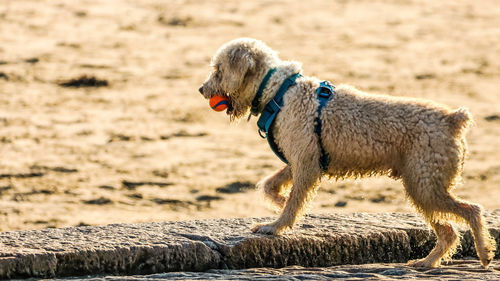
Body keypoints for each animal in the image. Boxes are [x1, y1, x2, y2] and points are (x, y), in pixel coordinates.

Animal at [198, 37, 496, 266]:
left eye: (218, 70)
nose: (202, 89)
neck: (279, 91)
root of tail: (453, 119)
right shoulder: (300, 160)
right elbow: (271, 187)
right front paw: (281, 204)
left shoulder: (306, 164)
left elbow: (294, 201)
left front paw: (276, 226)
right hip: (422, 186)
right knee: (449, 232)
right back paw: (427, 263)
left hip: (425, 184)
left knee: (472, 211)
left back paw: (483, 253)